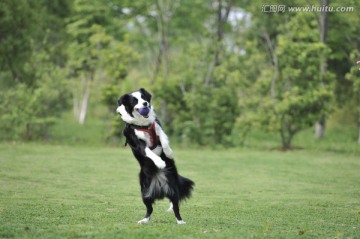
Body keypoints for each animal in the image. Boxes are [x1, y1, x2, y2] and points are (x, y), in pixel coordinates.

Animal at [116, 88, 194, 224]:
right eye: (134, 101)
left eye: (144, 97)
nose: (145, 104)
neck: (143, 124)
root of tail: (160, 186)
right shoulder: (138, 143)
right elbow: (149, 152)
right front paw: (160, 162)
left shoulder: (158, 129)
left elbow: (164, 141)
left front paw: (169, 153)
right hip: (145, 192)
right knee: (149, 209)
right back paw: (144, 221)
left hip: (173, 188)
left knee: (176, 207)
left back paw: (180, 221)